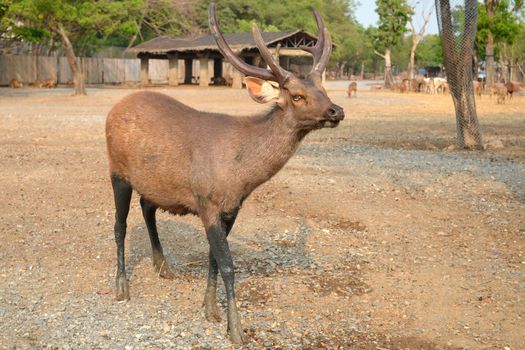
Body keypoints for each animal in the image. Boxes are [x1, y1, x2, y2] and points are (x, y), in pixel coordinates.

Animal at [105, 4, 344, 344]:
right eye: (297, 96)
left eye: (323, 89)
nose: (336, 111)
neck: (241, 175)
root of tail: (116, 106)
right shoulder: (207, 203)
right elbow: (229, 264)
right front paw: (236, 329)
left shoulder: (232, 209)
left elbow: (213, 258)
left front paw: (209, 308)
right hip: (117, 170)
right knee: (119, 224)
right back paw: (122, 286)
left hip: (155, 181)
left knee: (147, 206)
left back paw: (162, 266)